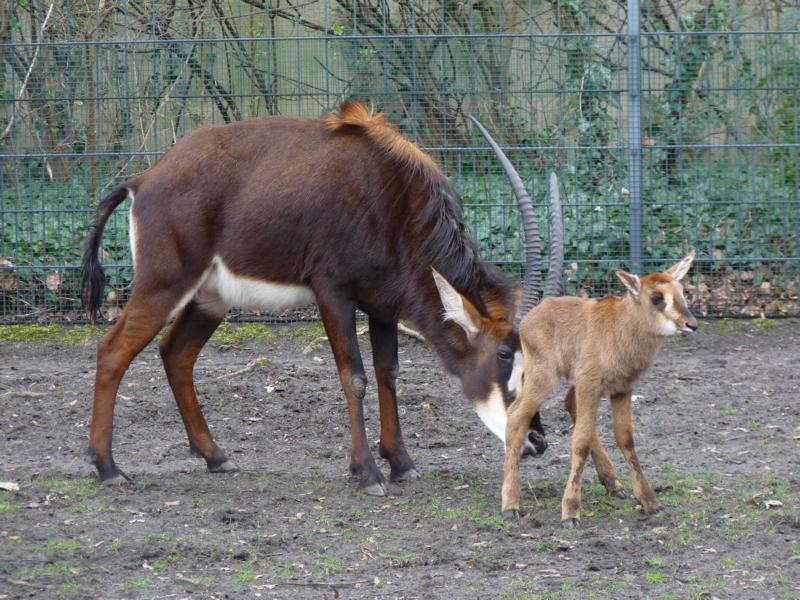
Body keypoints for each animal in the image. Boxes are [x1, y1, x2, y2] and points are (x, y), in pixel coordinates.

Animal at [81, 101, 563, 495]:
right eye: (504, 354)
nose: (536, 442)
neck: (390, 202)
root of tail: (142, 181)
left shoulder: (383, 304)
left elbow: (389, 373)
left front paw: (401, 462)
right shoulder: (332, 292)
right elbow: (356, 377)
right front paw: (366, 472)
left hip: (210, 298)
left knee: (176, 353)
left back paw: (214, 456)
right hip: (164, 285)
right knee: (113, 351)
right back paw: (108, 468)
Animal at [502, 252, 697, 525]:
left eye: (681, 292)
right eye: (657, 298)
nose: (691, 324)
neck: (621, 328)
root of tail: (533, 315)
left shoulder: (621, 390)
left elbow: (625, 438)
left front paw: (650, 501)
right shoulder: (590, 384)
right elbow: (581, 440)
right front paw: (570, 511)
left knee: (568, 405)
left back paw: (613, 483)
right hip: (543, 378)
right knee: (516, 416)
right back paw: (510, 504)